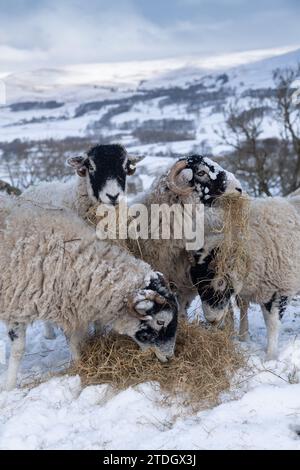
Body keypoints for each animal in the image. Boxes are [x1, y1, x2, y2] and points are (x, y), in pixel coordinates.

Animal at [0, 193, 178, 392]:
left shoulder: (67, 306)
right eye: (160, 321)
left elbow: (74, 341)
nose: (169, 357)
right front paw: (9, 386)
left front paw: (80, 365)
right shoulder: (16, 307)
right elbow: (18, 350)